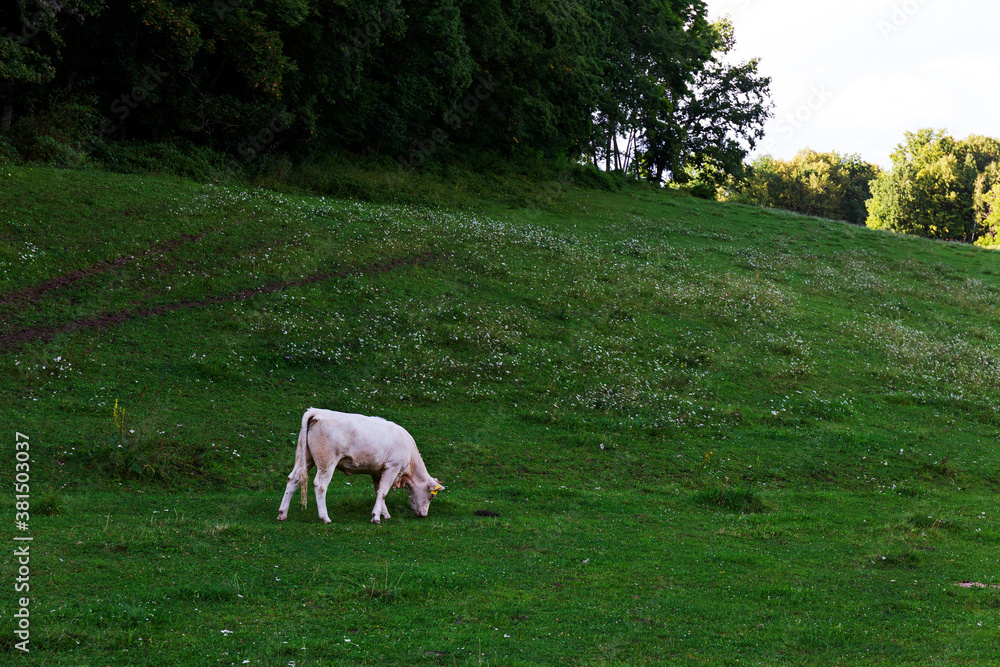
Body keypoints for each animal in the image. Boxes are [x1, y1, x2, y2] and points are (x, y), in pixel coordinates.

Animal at [277, 408, 444, 524]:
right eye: (431, 496)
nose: (424, 515)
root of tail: (317, 411)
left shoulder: (378, 471)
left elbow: (379, 491)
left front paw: (384, 514)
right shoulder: (392, 468)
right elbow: (384, 492)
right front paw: (376, 517)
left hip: (305, 458)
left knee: (293, 480)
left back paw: (282, 513)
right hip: (326, 462)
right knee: (320, 485)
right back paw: (325, 517)